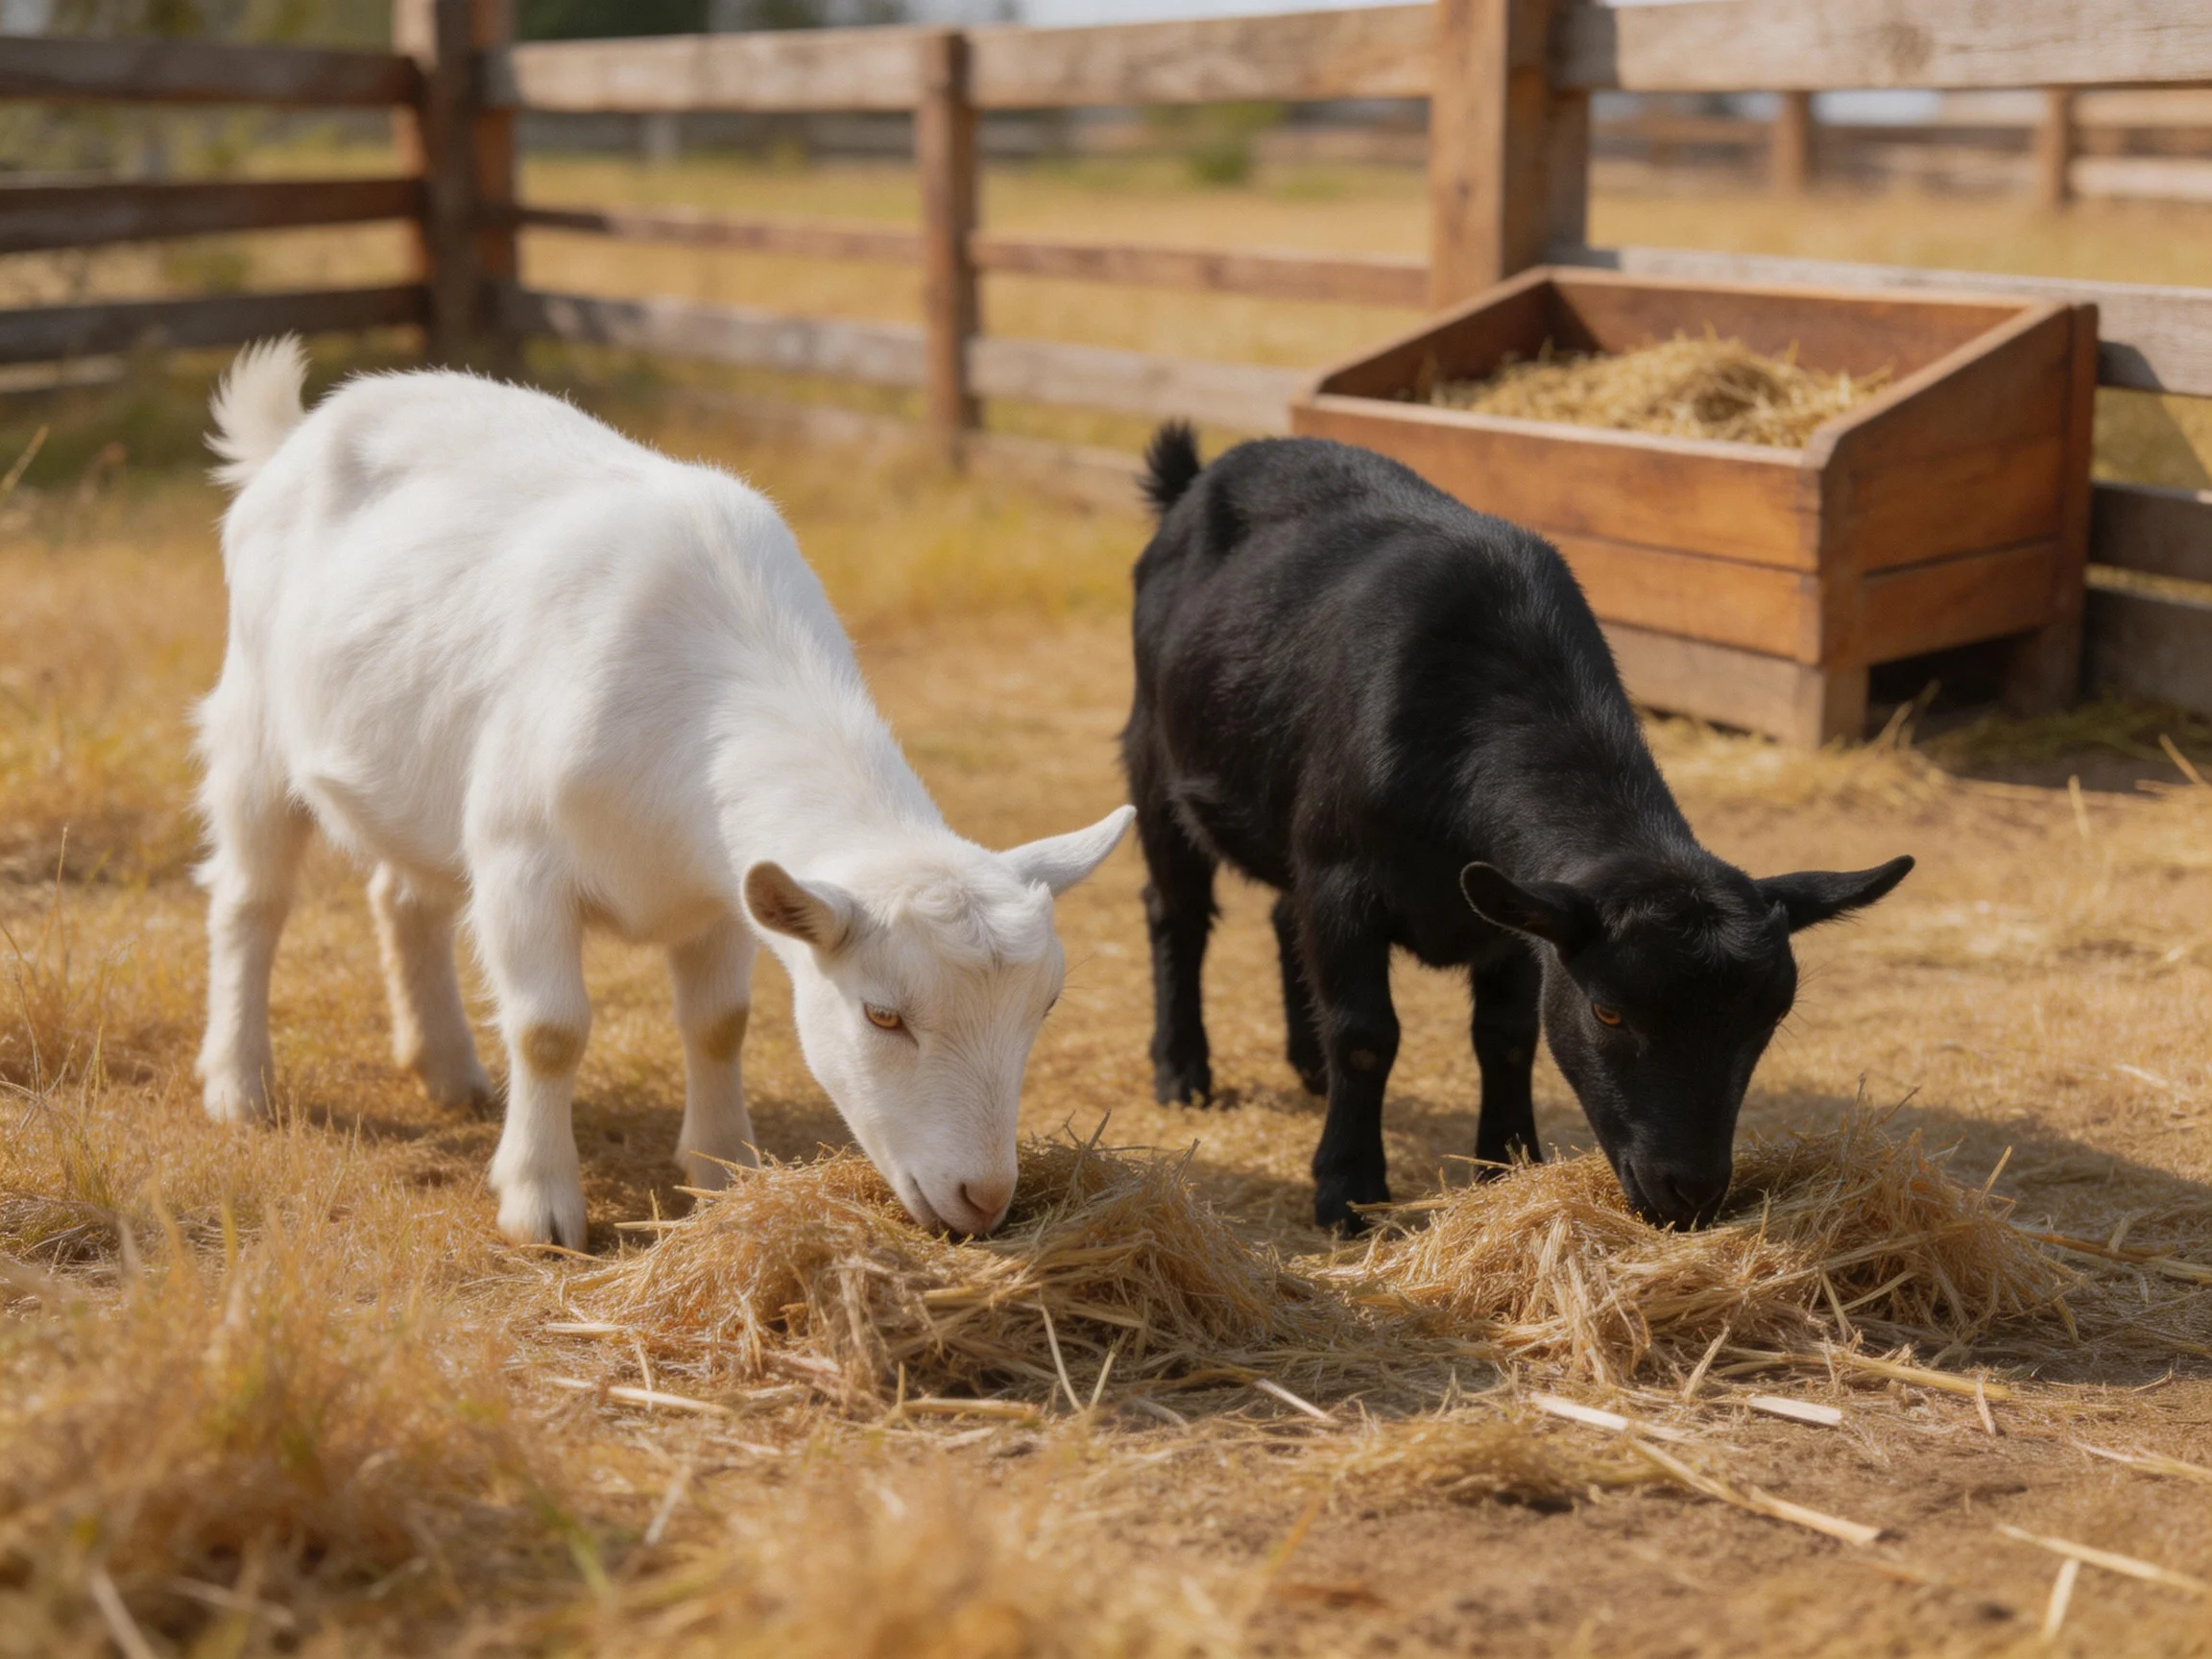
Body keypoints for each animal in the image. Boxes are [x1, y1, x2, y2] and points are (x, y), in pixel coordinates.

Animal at [195, 339, 1131, 1248]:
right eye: (882, 1016)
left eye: (1044, 1005)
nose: (984, 1198)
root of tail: (303, 428)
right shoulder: (521, 862)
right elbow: (549, 1031)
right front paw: (540, 1206)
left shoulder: (724, 890)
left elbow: (720, 1021)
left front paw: (724, 1171)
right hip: (253, 721)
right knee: (251, 902)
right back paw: (240, 1086)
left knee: (402, 896)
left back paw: (449, 1071)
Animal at [1122, 424, 1910, 1232]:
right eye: (1609, 1012)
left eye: (1769, 1019)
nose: (1690, 1192)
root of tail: (1207, 471)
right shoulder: (1343, 880)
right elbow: (1367, 1034)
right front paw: (1347, 1187)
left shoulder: (1514, 914)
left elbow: (1505, 1035)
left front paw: (1507, 1164)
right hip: (1155, 751)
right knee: (1176, 910)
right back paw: (1182, 1070)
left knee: (1283, 915)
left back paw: (1307, 1065)